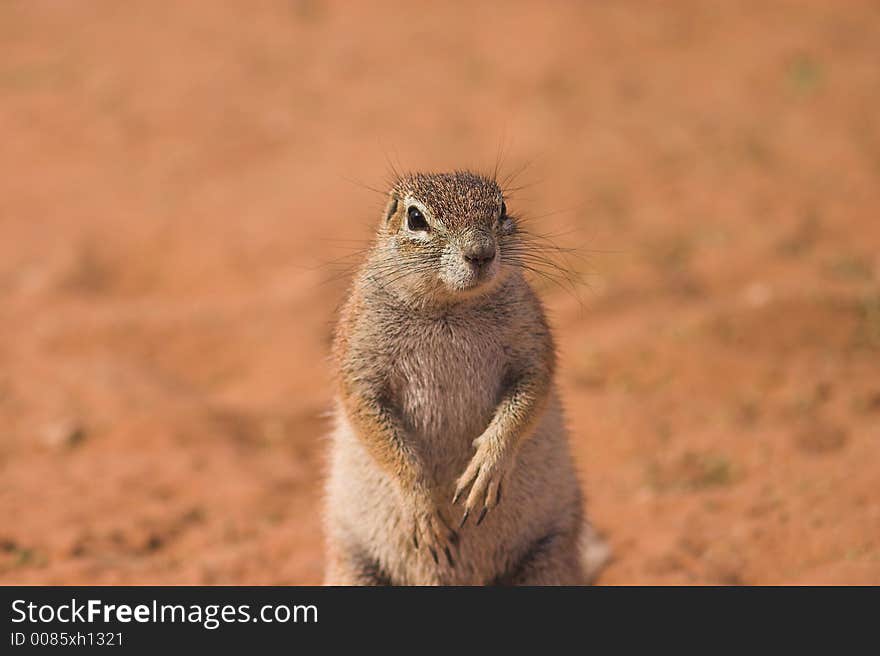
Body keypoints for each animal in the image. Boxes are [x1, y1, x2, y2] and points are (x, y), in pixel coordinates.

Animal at [324, 172, 604, 588]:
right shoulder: (359, 355)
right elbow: (373, 423)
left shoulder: (531, 338)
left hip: (549, 557)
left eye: (502, 208)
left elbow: (530, 394)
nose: (481, 253)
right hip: (352, 567)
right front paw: (423, 508)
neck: (450, 307)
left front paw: (486, 467)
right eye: (415, 218)